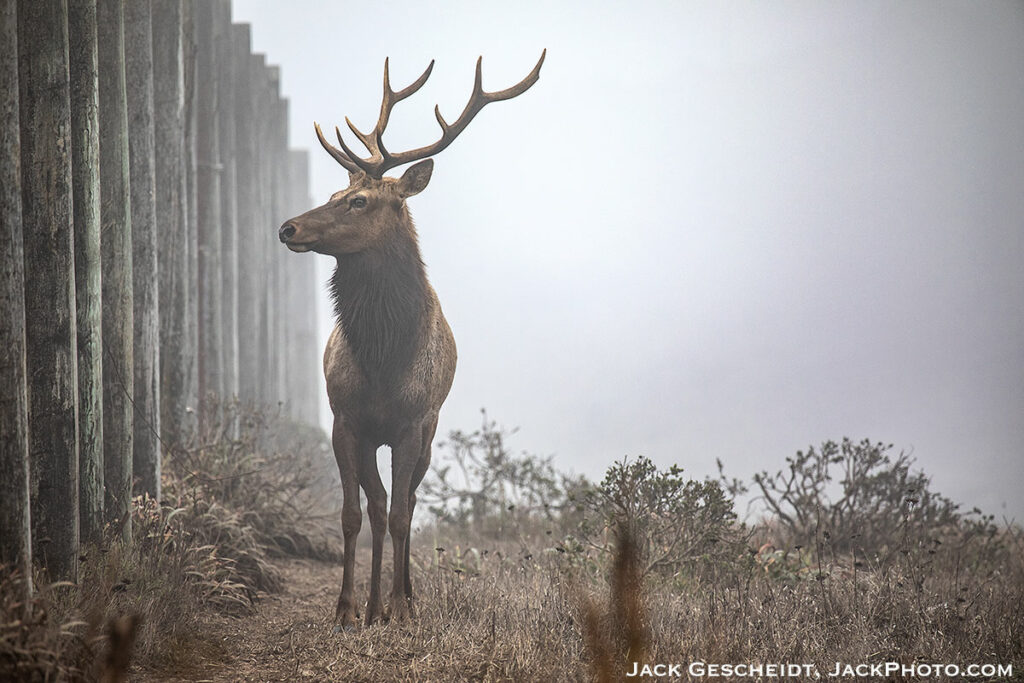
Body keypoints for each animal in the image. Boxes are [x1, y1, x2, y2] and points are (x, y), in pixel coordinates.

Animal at [272, 52, 544, 630]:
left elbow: (400, 513)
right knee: (376, 506)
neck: (383, 359)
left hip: (430, 431)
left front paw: (399, 607)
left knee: (408, 503)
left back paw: (405, 597)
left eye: (359, 201)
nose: (287, 228)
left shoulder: (412, 423)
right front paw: (348, 608)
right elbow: (353, 515)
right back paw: (374, 603)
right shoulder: (346, 420)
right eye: (333, 194)